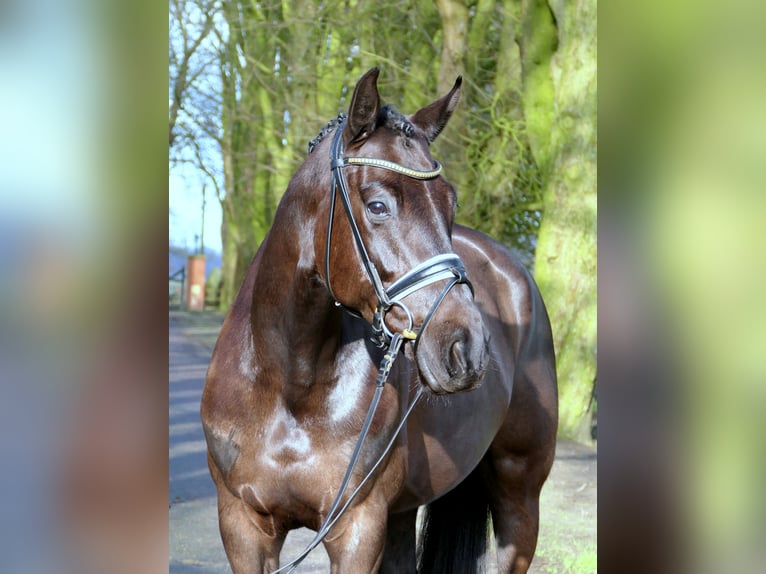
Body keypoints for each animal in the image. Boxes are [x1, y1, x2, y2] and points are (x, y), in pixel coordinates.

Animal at [198, 68, 560, 574]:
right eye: (377, 205)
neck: (288, 384)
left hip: (519, 491)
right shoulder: (244, 528)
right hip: (403, 513)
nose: (466, 348)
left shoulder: (357, 528)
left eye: (449, 203)